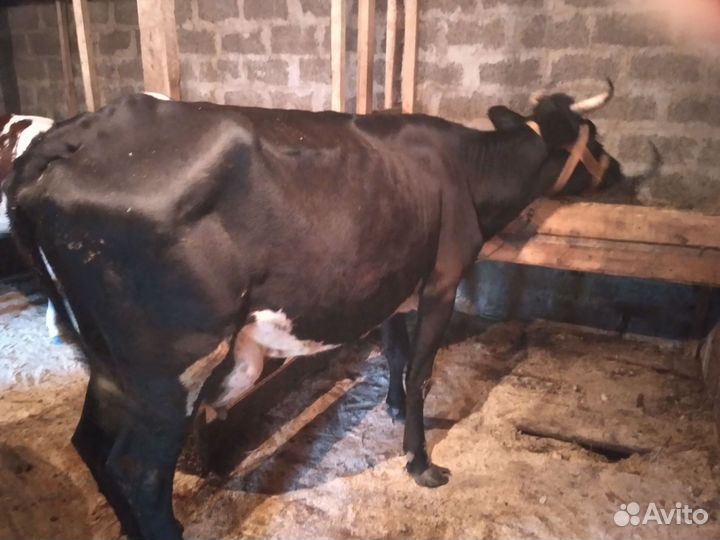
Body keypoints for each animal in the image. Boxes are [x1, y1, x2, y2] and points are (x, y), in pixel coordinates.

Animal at [3, 81, 645, 539]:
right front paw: (420, 462)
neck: (466, 171)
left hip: (110, 363)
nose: (617, 172)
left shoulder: (394, 278)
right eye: (593, 135)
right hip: (171, 368)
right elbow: (422, 370)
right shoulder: (442, 279)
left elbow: (395, 352)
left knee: (89, 443)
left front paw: (390, 409)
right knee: (136, 471)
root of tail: (74, 136)